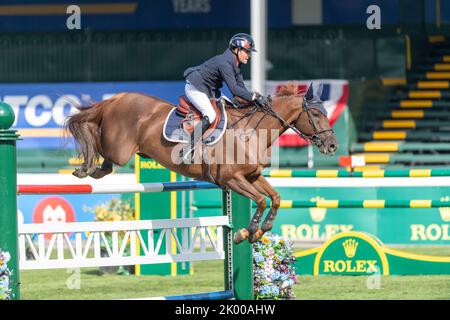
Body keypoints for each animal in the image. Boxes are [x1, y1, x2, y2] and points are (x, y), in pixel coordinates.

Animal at [64, 84, 338, 244]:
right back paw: (84, 167)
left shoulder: (252, 176)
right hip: (119, 149)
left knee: (105, 163)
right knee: (97, 145)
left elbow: (275, 198)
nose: (333, 145)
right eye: (316, 114)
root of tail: (115, 98)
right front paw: (245, 233)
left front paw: (262, 229)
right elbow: (261, 200)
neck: (251, 131)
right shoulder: (231, 179)